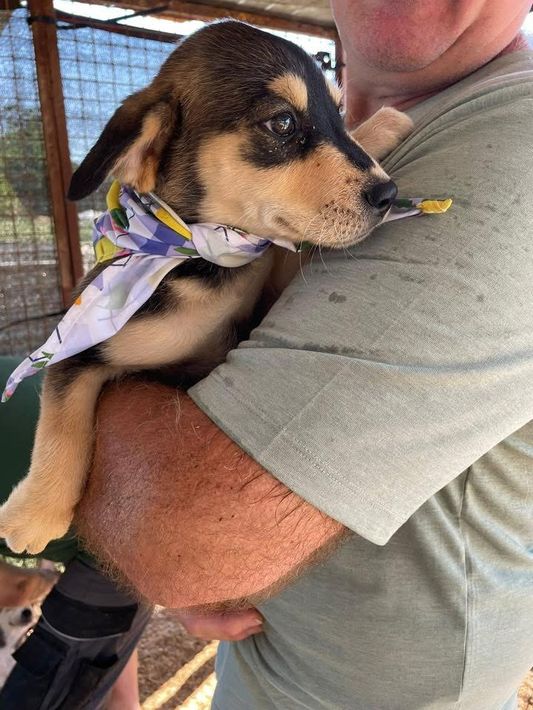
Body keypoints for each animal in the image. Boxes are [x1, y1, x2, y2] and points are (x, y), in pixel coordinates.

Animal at [0, 20, 412, 554]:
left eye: (338, 114)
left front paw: (379, 126)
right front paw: (35, 512)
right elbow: (62, 412)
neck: (206, 263)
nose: (387, 195)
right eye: (282, 123)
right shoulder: (85, 343)